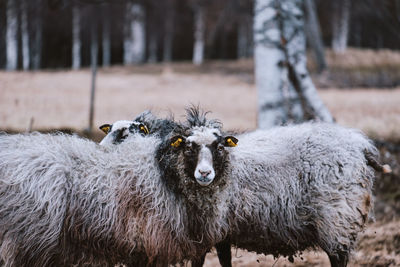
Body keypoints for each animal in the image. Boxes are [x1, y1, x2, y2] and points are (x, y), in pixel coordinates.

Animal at [160, 108, 384, 266]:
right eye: (189, 148)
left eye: (220, 147)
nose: (204, 173)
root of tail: (360, 147)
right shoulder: (222, 230)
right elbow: (224, 260)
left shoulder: (211, 228)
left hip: (338, 218)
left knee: (339, 258)